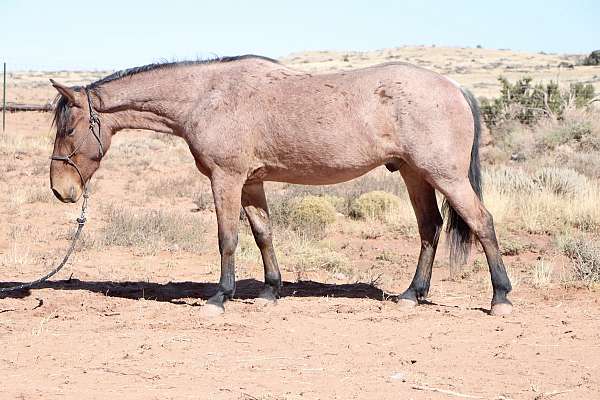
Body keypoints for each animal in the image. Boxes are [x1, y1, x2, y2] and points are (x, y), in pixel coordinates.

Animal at [49, 54, 512, 316]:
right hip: (416, 175)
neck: (207, 96)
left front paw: (220, 297)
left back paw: (500, 299)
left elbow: (228, 238)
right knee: (430, 228)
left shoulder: (226, 178)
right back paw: (412, 295)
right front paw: (270, 291)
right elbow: (263, 234)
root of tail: (454, 87)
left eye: (68, 129)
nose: (61, 190)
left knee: (482, 223)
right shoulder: (251, 183)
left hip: (446, 176)